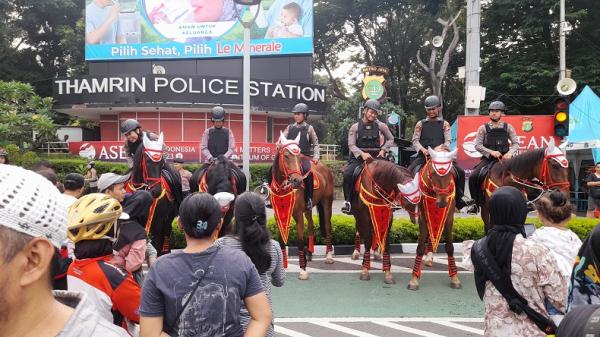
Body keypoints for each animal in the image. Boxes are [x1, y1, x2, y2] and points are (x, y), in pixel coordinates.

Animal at [270, 133, 336, 280]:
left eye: (298, 157)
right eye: (286, 155)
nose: (297, 180)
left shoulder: (298, 214)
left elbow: (300, 240)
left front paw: (303, 269)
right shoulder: (279, 215)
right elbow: (281, 240)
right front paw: (283, 266)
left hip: (326, 203)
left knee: (328, 226)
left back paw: (329, 256)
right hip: (308, 209)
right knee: (311, 225)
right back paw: (310, 254)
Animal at [406, 148, 462, 290]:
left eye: (450, 173)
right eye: (432, 173)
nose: (442, 202)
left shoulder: (449, 217)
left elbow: (450, 247)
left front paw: (455, 278)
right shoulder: (423, 217)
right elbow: (420, 247)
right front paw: (414, 279)